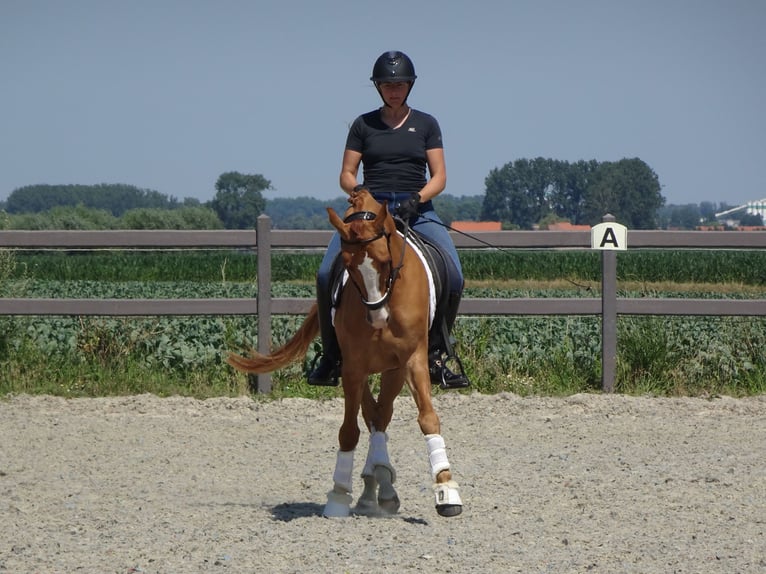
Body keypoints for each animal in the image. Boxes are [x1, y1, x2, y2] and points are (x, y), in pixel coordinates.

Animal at [228, 190, 464, 520]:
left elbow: (428, 419)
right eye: (349, 267)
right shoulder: (353, 367)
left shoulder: (411, 360)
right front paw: (339, 494)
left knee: (381, 415)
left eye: (385, 261)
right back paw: (373, 489)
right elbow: (349, 431)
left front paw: (446, 491)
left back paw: (381, 487)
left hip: (393, 369)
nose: (377, 317)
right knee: (374, 416)